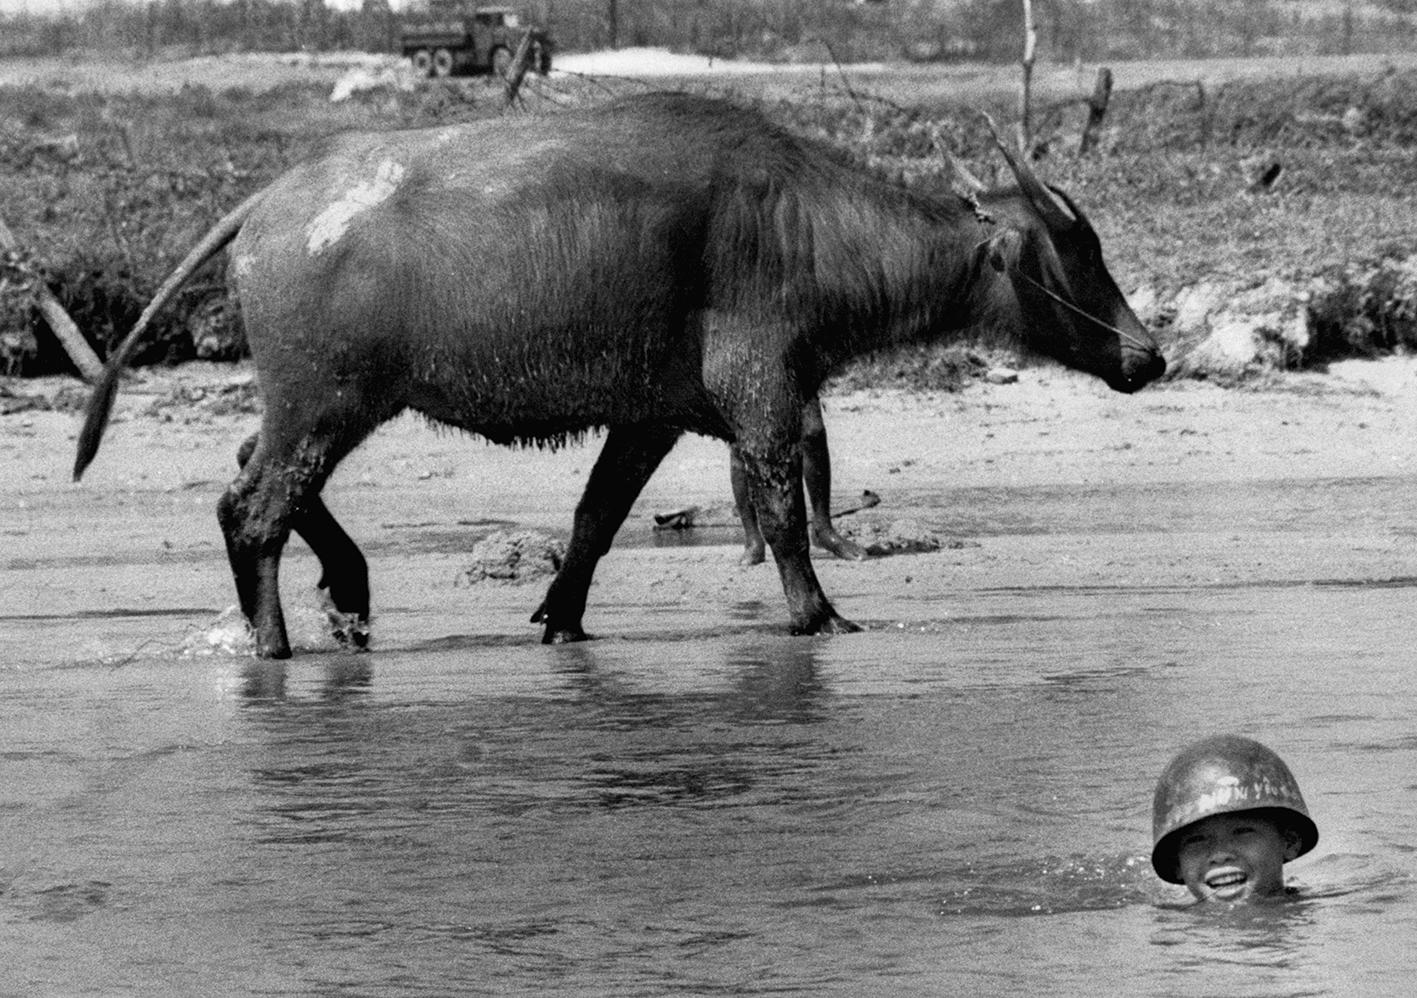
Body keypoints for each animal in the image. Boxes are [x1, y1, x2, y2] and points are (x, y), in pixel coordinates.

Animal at [71, 91, 1167, 654]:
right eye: (1077, 255)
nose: (1147, 354)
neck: (807, 231)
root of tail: (271, 201)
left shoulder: (653, 417)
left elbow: (595, 521)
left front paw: (559, 617)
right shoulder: (766, 399)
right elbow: (781, 516)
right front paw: (819, 614)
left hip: (320, 406)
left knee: (255, 472)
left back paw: (347, 592)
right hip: (324, 404)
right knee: (249, 507)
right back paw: (276, 643)